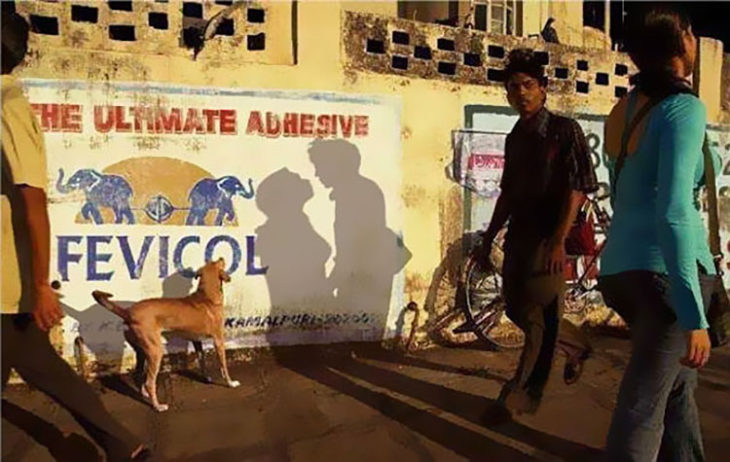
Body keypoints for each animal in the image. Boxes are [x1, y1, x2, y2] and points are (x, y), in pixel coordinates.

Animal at [91, 258, 239, 414]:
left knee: (138, 375)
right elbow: (223, 365)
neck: (207, 296)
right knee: (150, 382)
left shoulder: (196, 341)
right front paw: (230, 383)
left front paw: (206, 378)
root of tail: (128, 313)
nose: (222, 257)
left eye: (212, 261)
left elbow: (202, 361)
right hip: (156, 351)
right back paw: (157, 406)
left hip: (142, 351)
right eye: (218, 262)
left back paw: (145, 394)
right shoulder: (219, 340)